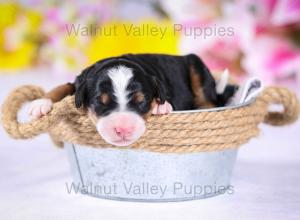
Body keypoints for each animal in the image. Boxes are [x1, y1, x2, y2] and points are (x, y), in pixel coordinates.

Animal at [29, 53, 237, 146]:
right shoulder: (79, 82)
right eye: (100, 101)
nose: (123, 129)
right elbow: (63, 87)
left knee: (209, 101)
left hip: (196, 65)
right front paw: (41, 103)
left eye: (140, 101)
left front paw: (161, 106)